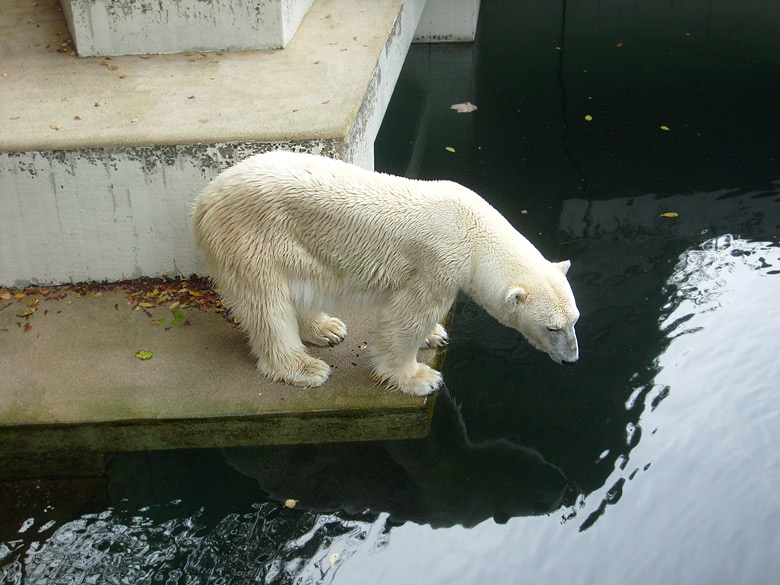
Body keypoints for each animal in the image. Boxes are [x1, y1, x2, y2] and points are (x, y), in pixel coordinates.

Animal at [190, 151, 580, 396]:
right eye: (552, 327)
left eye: (575, 319)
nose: (572, 359)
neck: (475, 230)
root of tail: (204, 199)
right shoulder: (439, 262)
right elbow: (407, 317)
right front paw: (419, 377)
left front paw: (435, 336)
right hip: (251, 237)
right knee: (267, 304)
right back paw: (305, 368)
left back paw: (327, 328)